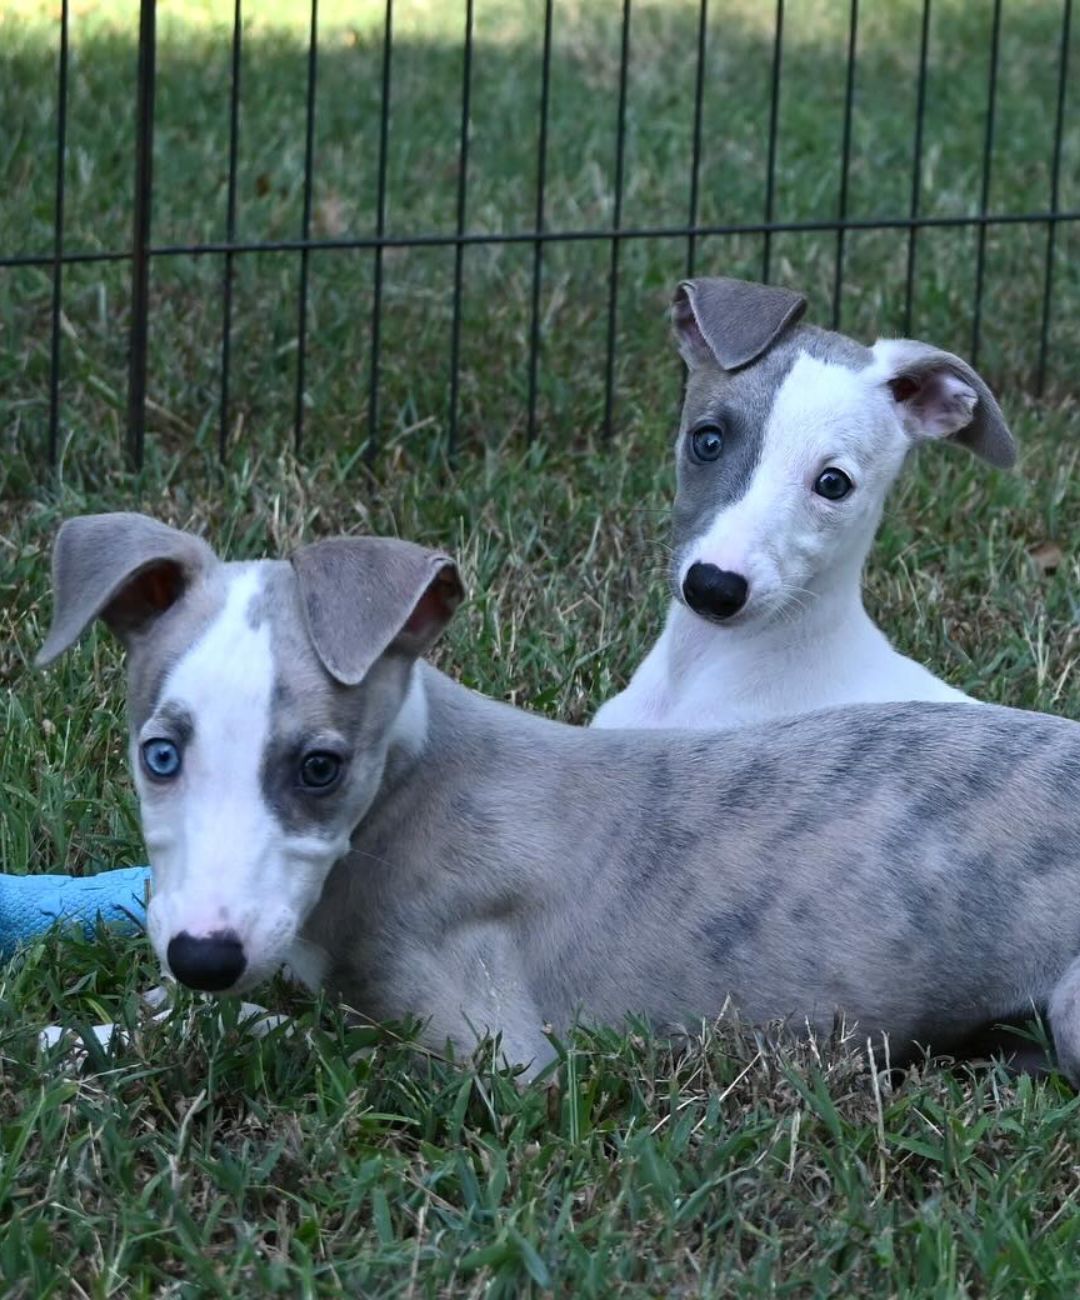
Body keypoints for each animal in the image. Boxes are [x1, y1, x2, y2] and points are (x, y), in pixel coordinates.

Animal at [35, 509, 1080, 1086]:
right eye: (159, 755)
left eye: (320, 768)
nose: (203, 956)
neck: (407, 796)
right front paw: (90, 1027)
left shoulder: (490, 1055)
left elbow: (308, 1040)